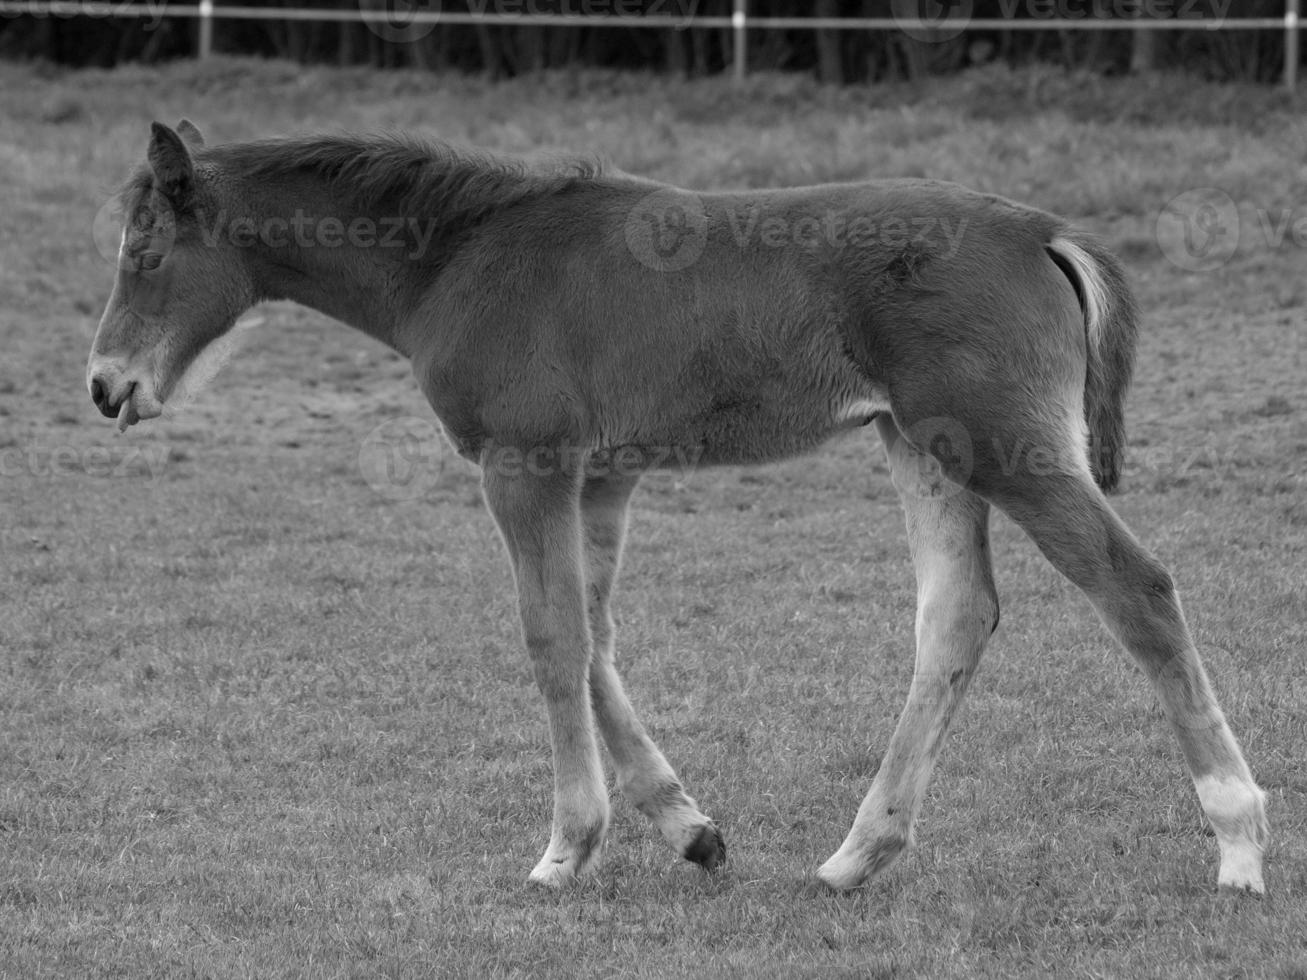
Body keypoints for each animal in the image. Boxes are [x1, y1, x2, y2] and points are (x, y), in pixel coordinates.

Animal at [84, 118, 1265, 893]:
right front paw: (689, 829)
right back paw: (854, 854)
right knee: (957, 617)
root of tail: (1043, 233)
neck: (462, 255)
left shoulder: (525, 463)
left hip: (1003, 450)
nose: (104, 386)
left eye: (145, 253)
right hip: (920, 447)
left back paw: (1237, 838)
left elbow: (551, 637)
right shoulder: (606, 473)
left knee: (1137, 589)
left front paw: (565, 847)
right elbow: (596, 634)